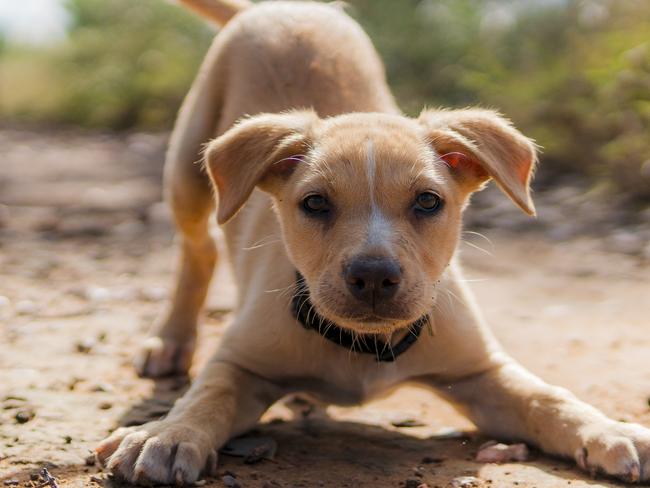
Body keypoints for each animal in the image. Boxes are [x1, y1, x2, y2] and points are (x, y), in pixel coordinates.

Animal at [95, 1, 648, 486]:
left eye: (427, 201)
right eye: (315, 203)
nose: (375, 276)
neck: (365, 346)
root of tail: (273, 7)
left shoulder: (484, 372)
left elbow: (549, 398)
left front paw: (610, 430)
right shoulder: (238, 362)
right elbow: (209, 395)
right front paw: (167, 435)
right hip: (186, 169)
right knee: (199, 248)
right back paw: (170, 341)